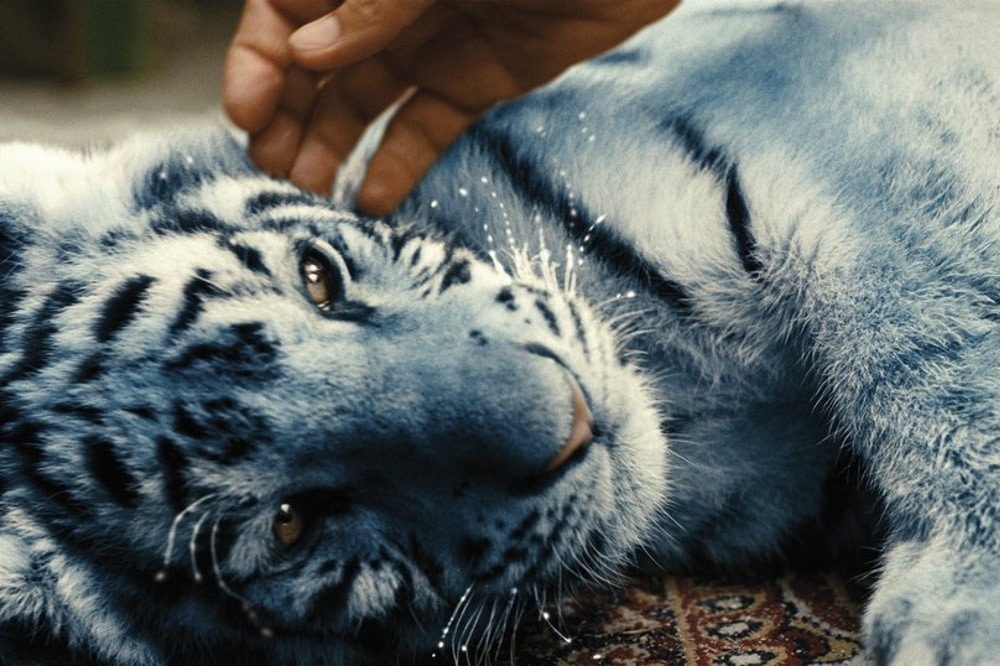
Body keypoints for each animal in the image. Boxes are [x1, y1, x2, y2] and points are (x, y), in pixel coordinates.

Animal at [1, 0, 998, 664]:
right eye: (292, 524)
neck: (687, 405)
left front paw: (963, 607)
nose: (573, 420)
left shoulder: (832, 113)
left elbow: (925, 326)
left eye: (319, 278)